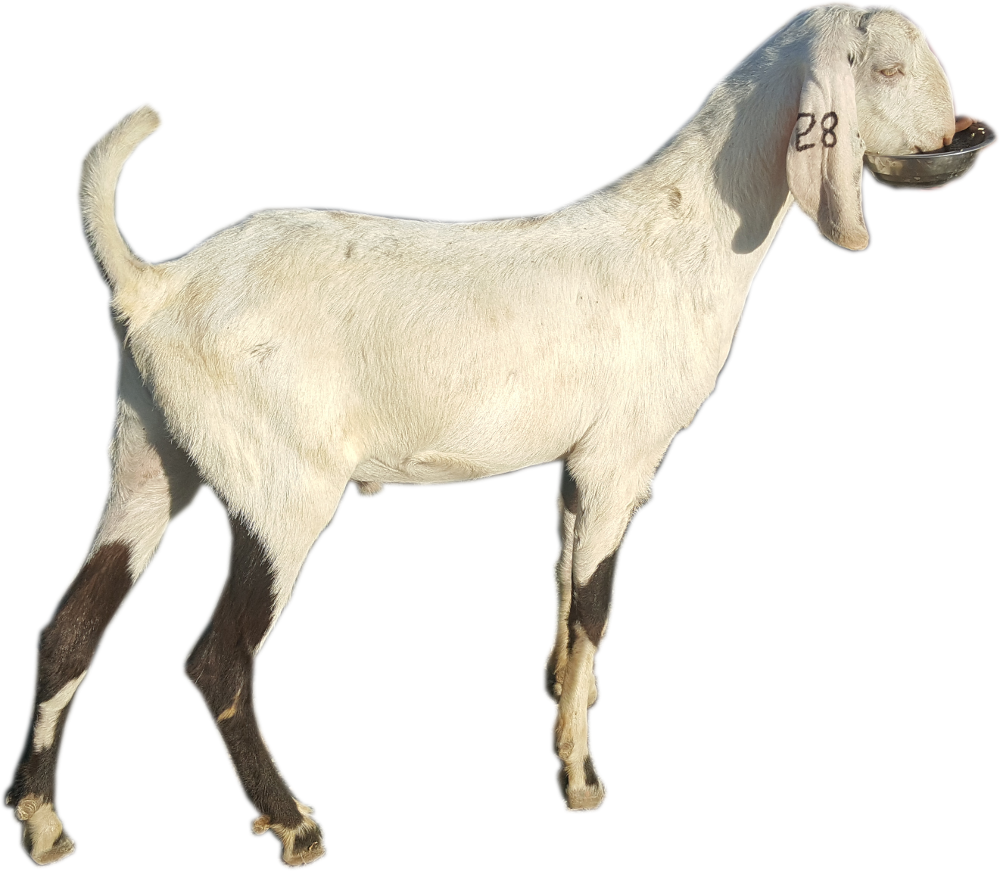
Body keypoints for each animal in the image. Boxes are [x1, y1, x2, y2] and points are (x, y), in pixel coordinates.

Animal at [6, 3, 969, 867]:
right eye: (887, 68)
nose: (957, 131)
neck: (683, 231)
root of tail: (153, 287)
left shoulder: (574, 467)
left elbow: (563, 584)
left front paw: (559, 709)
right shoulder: (621, 455)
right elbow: (594, 605)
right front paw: (581, 781)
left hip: (149, 456)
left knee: (69, 626)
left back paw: (42, 826)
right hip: (277, 484)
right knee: (217, 660)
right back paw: (294, 825)